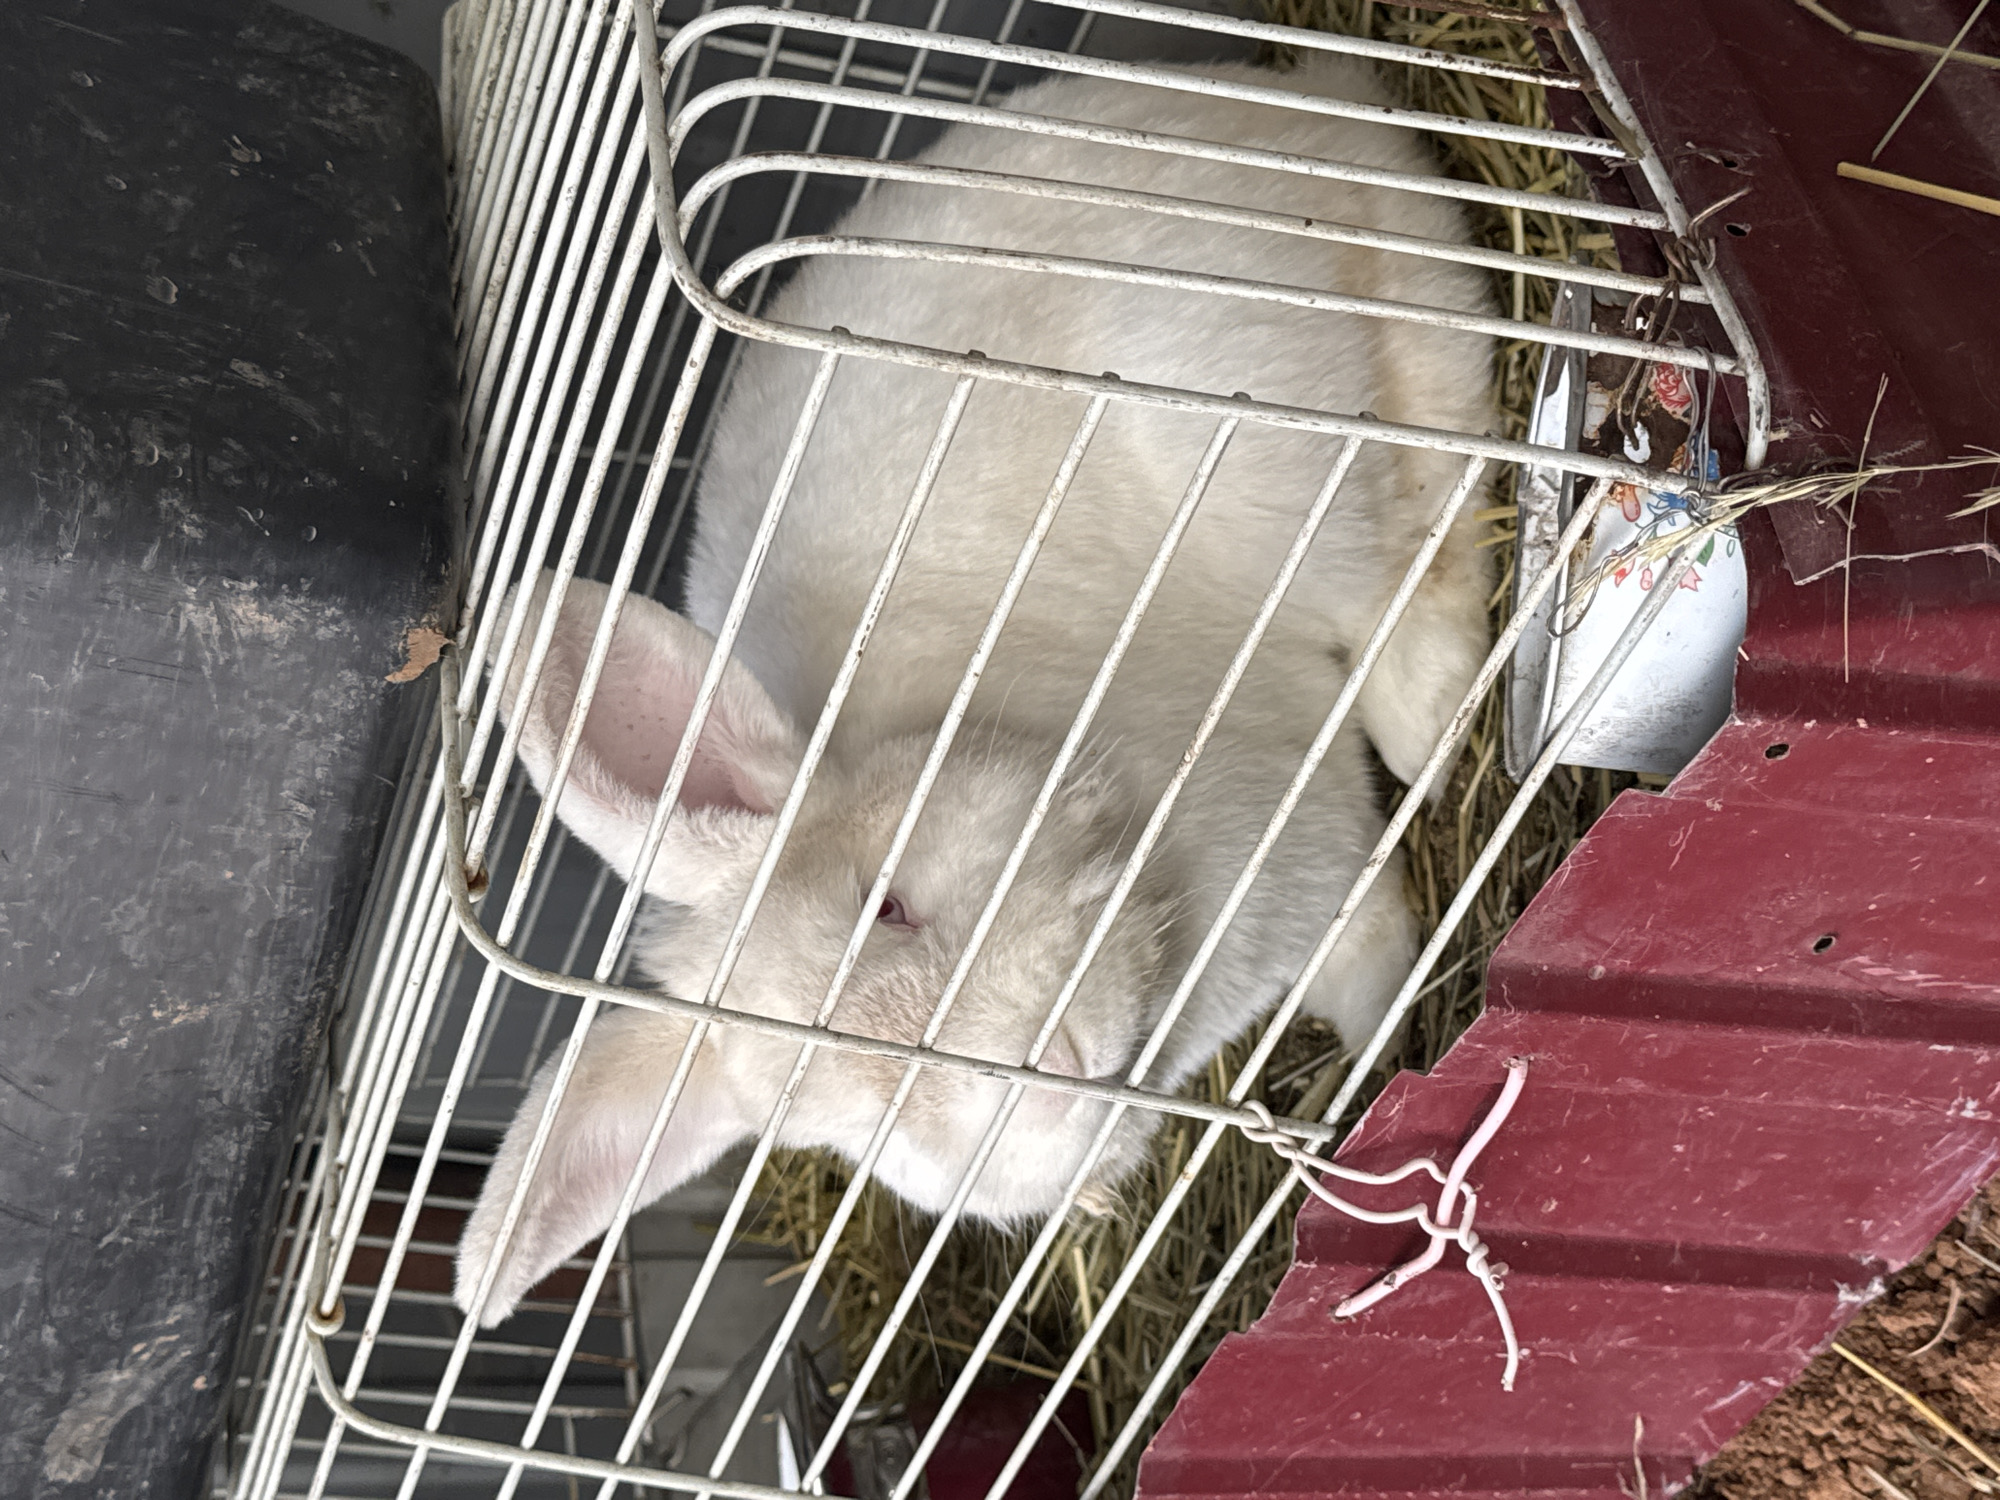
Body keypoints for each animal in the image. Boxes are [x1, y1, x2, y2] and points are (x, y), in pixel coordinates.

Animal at [455, 52, 1495, 1326]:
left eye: (888, 906)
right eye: (838, 1115)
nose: (1042, 1083)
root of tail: (1301, 95)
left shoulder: (1311, 844)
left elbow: (1373, 948)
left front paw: (1393, 1060)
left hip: (1282, 406)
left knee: (1431, 486)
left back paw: (1431, 727)